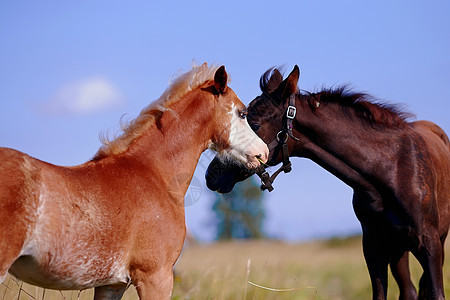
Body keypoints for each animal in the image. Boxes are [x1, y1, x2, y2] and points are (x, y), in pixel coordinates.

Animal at [207, 66, 450, 300]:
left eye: (254, 125)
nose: (212, 175)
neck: (391, 170)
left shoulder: (429, 244)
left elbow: (437, 293)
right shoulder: (373, 248)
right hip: (399, 250)